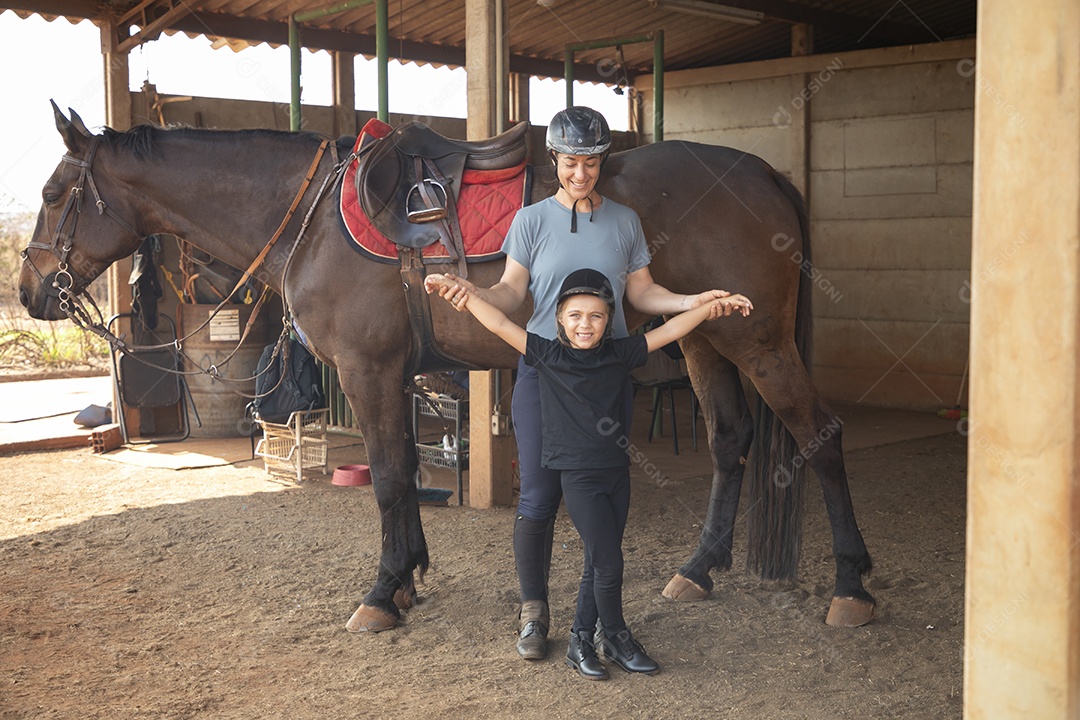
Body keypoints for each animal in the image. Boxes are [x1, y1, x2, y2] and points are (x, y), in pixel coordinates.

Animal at [19, 105, 876, 630]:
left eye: (56, 192)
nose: (30, 290)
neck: (310, 216)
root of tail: (763, 174)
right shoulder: (393, 375)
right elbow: (402, 477)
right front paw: (406, 578)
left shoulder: (367, 370)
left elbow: (390, 479)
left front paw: (381, 594)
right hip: (704, 339)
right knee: (731, 441)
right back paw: (700, 568)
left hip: (760, 341)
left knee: (822, 437)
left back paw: (851, 584)